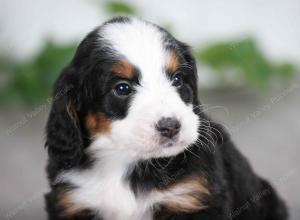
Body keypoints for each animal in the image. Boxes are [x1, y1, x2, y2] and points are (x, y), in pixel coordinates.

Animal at [45, 17, 288, 220]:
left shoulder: (190, 198)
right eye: (122, 88)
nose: (171, 127)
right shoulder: (73, 202)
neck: (125, 162)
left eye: (178, 79)